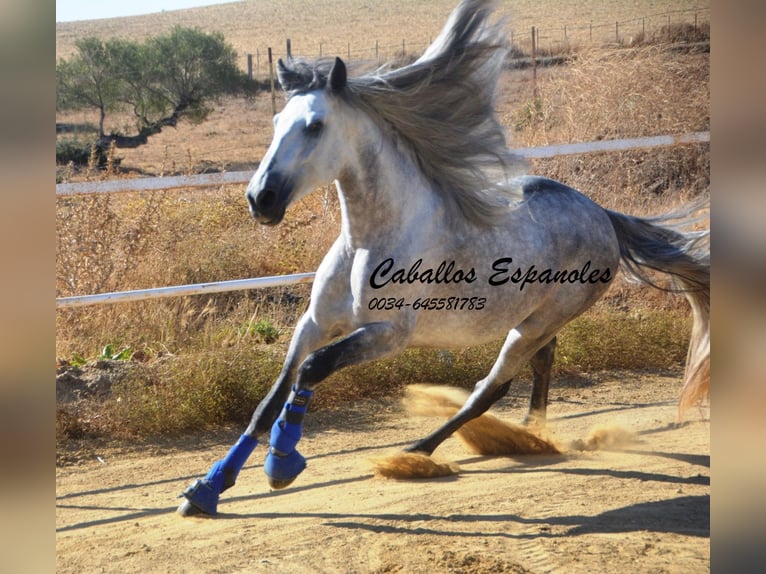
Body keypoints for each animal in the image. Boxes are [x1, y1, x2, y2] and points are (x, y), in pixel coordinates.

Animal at [177, 0, 712, 520]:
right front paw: (207, 489)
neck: (369, 239)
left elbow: (312, 371)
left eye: (314, 126)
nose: (260, 199)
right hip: (534, 319)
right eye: (275, 124)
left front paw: (282, 464)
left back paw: (415, 453)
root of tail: (603, 215)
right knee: (539, 366)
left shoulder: (388, 334)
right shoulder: (314, 323)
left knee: (490, 387)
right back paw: (530, 434)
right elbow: (270, 398)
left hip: (538, 323)